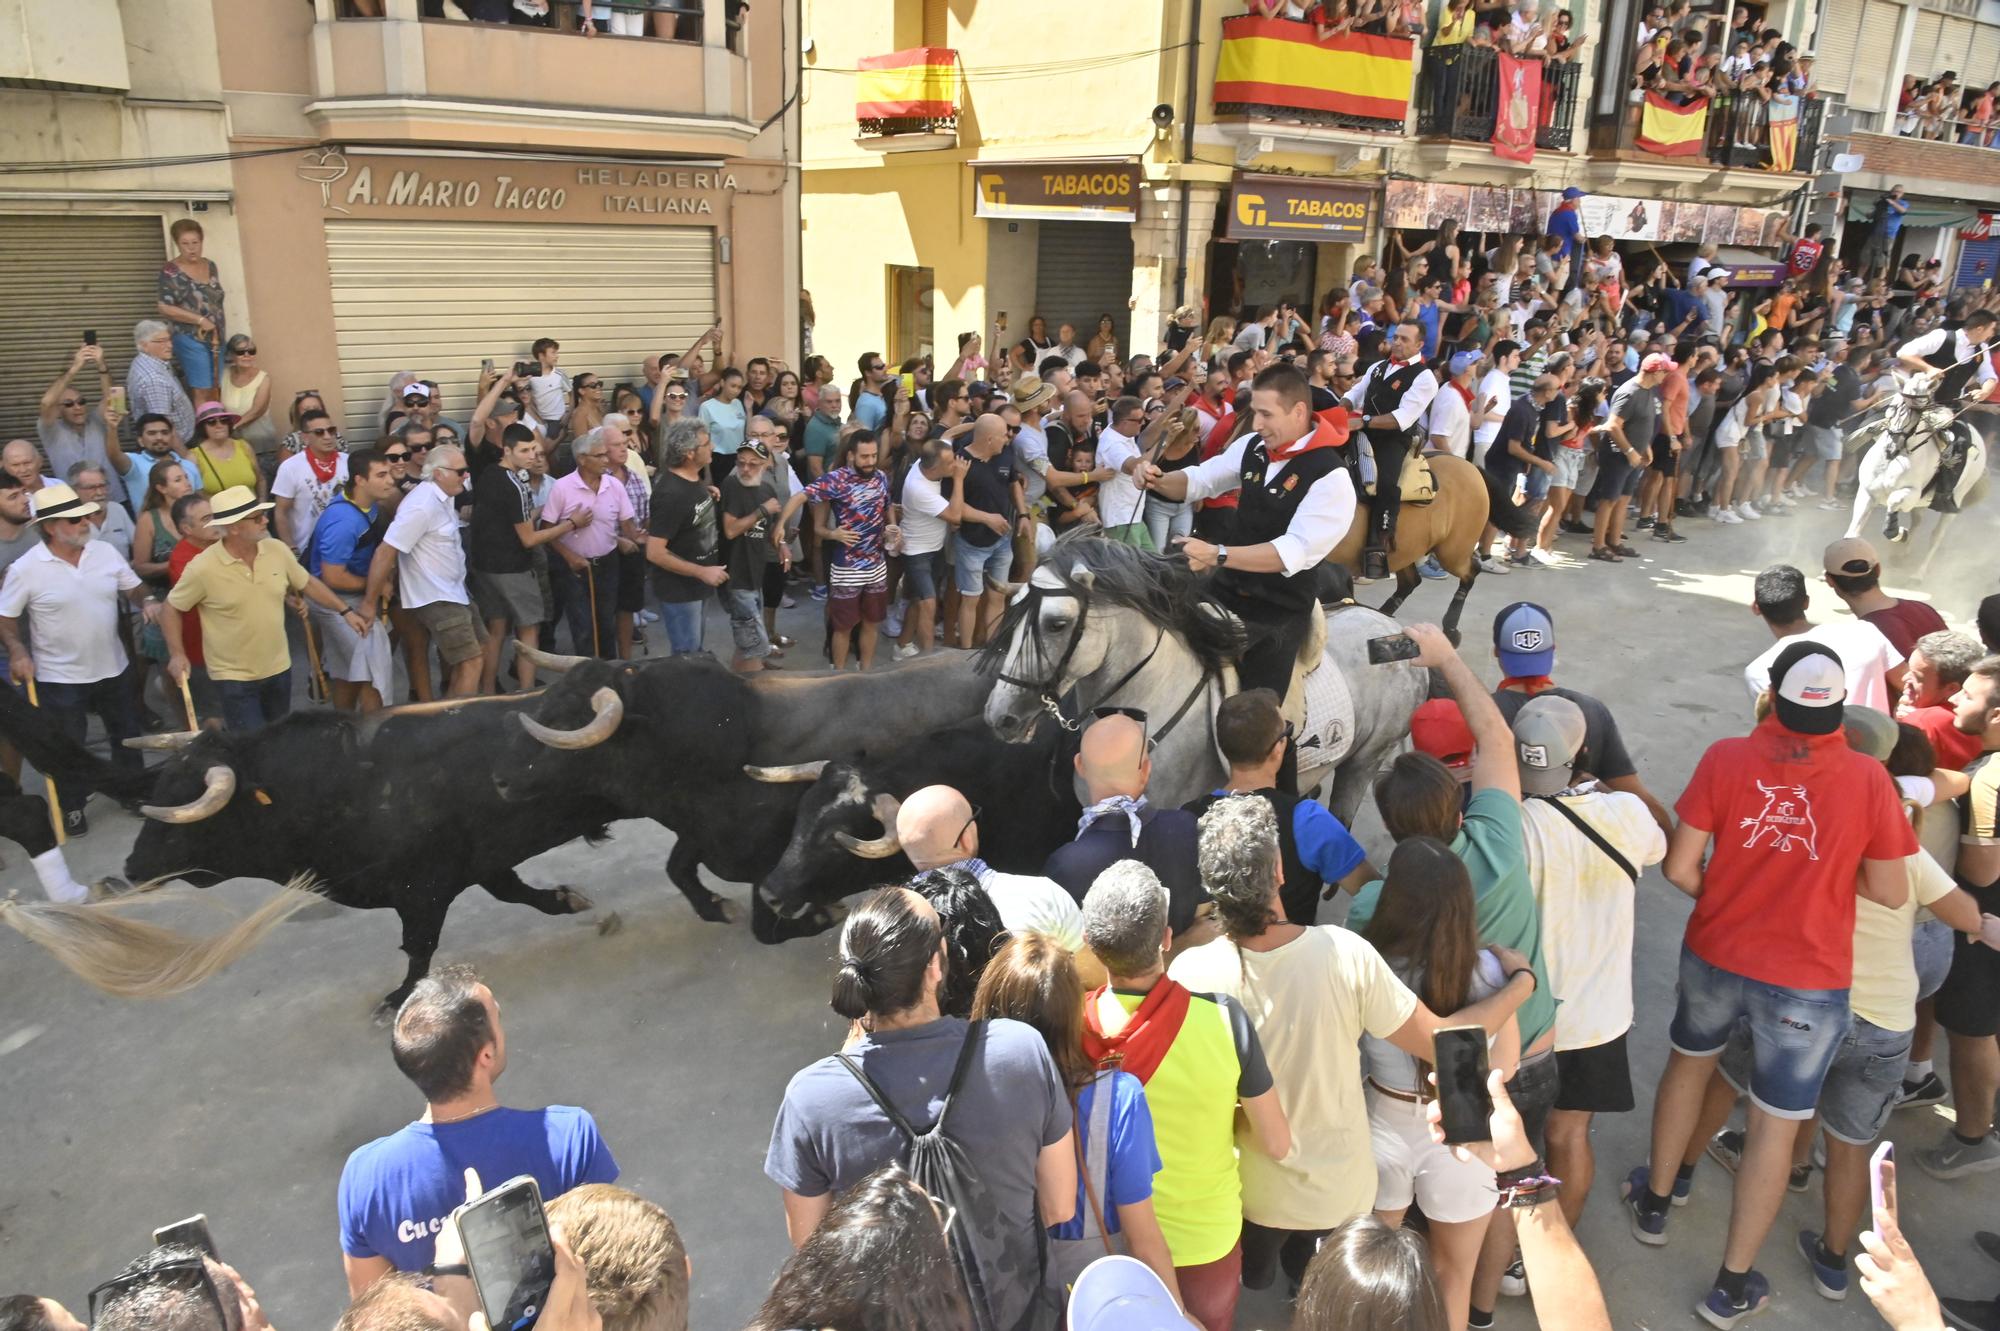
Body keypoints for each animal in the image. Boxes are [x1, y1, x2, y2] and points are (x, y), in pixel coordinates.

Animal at [1328, 453, 1488, 639]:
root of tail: (1469, 465)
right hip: (1405, 551)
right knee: (1411, 581)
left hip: (1452, 554)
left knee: (1471, 571)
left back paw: (1450, 630)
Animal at [1848, 365, 1992, 571]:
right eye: (1893, 406)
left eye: (1917, 411)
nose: (1891, 447)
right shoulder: (1867, 494)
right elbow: (1853, 533)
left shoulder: (1910, 494)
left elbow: (1893, 502)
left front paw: (1898, 533)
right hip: (1921, 504)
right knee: (1917, 523)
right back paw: (1903, 554)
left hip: (1955, 499)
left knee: (1936, 537)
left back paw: (1918, 573)